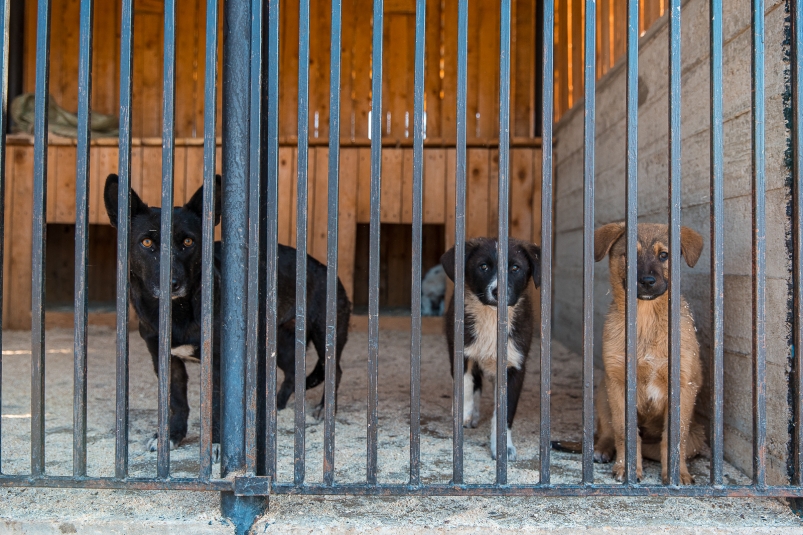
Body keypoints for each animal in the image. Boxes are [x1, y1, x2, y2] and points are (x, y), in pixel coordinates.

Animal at [103, 174, 348, 450]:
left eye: (188, 242)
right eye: (146, 242)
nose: (172, 283)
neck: (179, 311)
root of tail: (324, 268)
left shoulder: (220, 362)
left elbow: (218, 404)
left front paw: (218, 443)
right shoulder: (165, 359)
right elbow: (176, 402)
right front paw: (173, 436)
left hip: (325, 336)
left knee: (334, 371)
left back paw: (324, 409)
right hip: (281, 345)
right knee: (293, 373)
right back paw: (277, 405)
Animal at [440, 239, 540, 460]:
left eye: (515, 268)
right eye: (483, 267)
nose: (498, 291)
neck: (491, 316)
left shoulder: (514, 365)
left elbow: (505, 412)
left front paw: (503, 447)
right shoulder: (460, 352)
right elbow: (465, 383)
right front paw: (464, 412)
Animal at [592, 222, 708, 486]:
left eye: (664, 255)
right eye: (628, 254)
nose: (646, 281)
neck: (646, 318)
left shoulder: (683, 384)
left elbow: (675, 438)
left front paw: (677, 474)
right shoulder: (618, 382)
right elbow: (623, 432)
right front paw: (626, 468)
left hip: (697, 435)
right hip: (603, 391)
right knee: (607, 430)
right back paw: (602, 449)